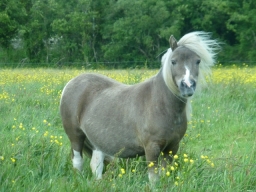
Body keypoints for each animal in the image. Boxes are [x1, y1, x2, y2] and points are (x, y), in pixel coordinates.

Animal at [60, 31, 220, 183]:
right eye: (173, 61)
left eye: (197, 61)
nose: (187, 86)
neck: (161, 105)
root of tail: (70, 83)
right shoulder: (152, 148)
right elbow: (154, 177)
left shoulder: (172, 147)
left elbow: (165, 173)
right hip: (76, 136)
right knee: (77, 161)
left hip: (97, 142)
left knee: (96, 164)